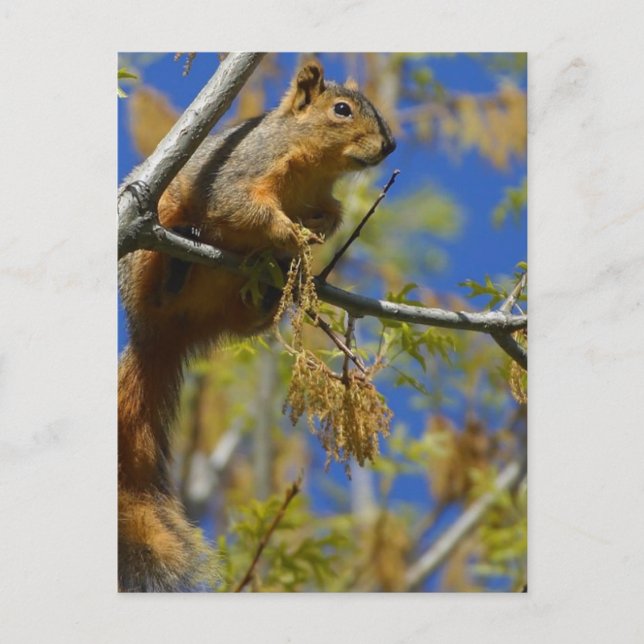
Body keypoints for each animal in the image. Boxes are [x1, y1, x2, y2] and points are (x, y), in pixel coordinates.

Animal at [118, 59, 396, 591]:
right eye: (342, 109)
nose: (389, 146)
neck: (313, 167)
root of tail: (156, 335)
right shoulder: (241, 170)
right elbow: (240, 206)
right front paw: (291, 233)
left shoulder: (323, 196)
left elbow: (332, 214)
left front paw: (314, 233)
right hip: (149, 240)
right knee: (161, 275)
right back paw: (176, 263)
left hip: (237, 313)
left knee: (248, 317)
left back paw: (268, 290)